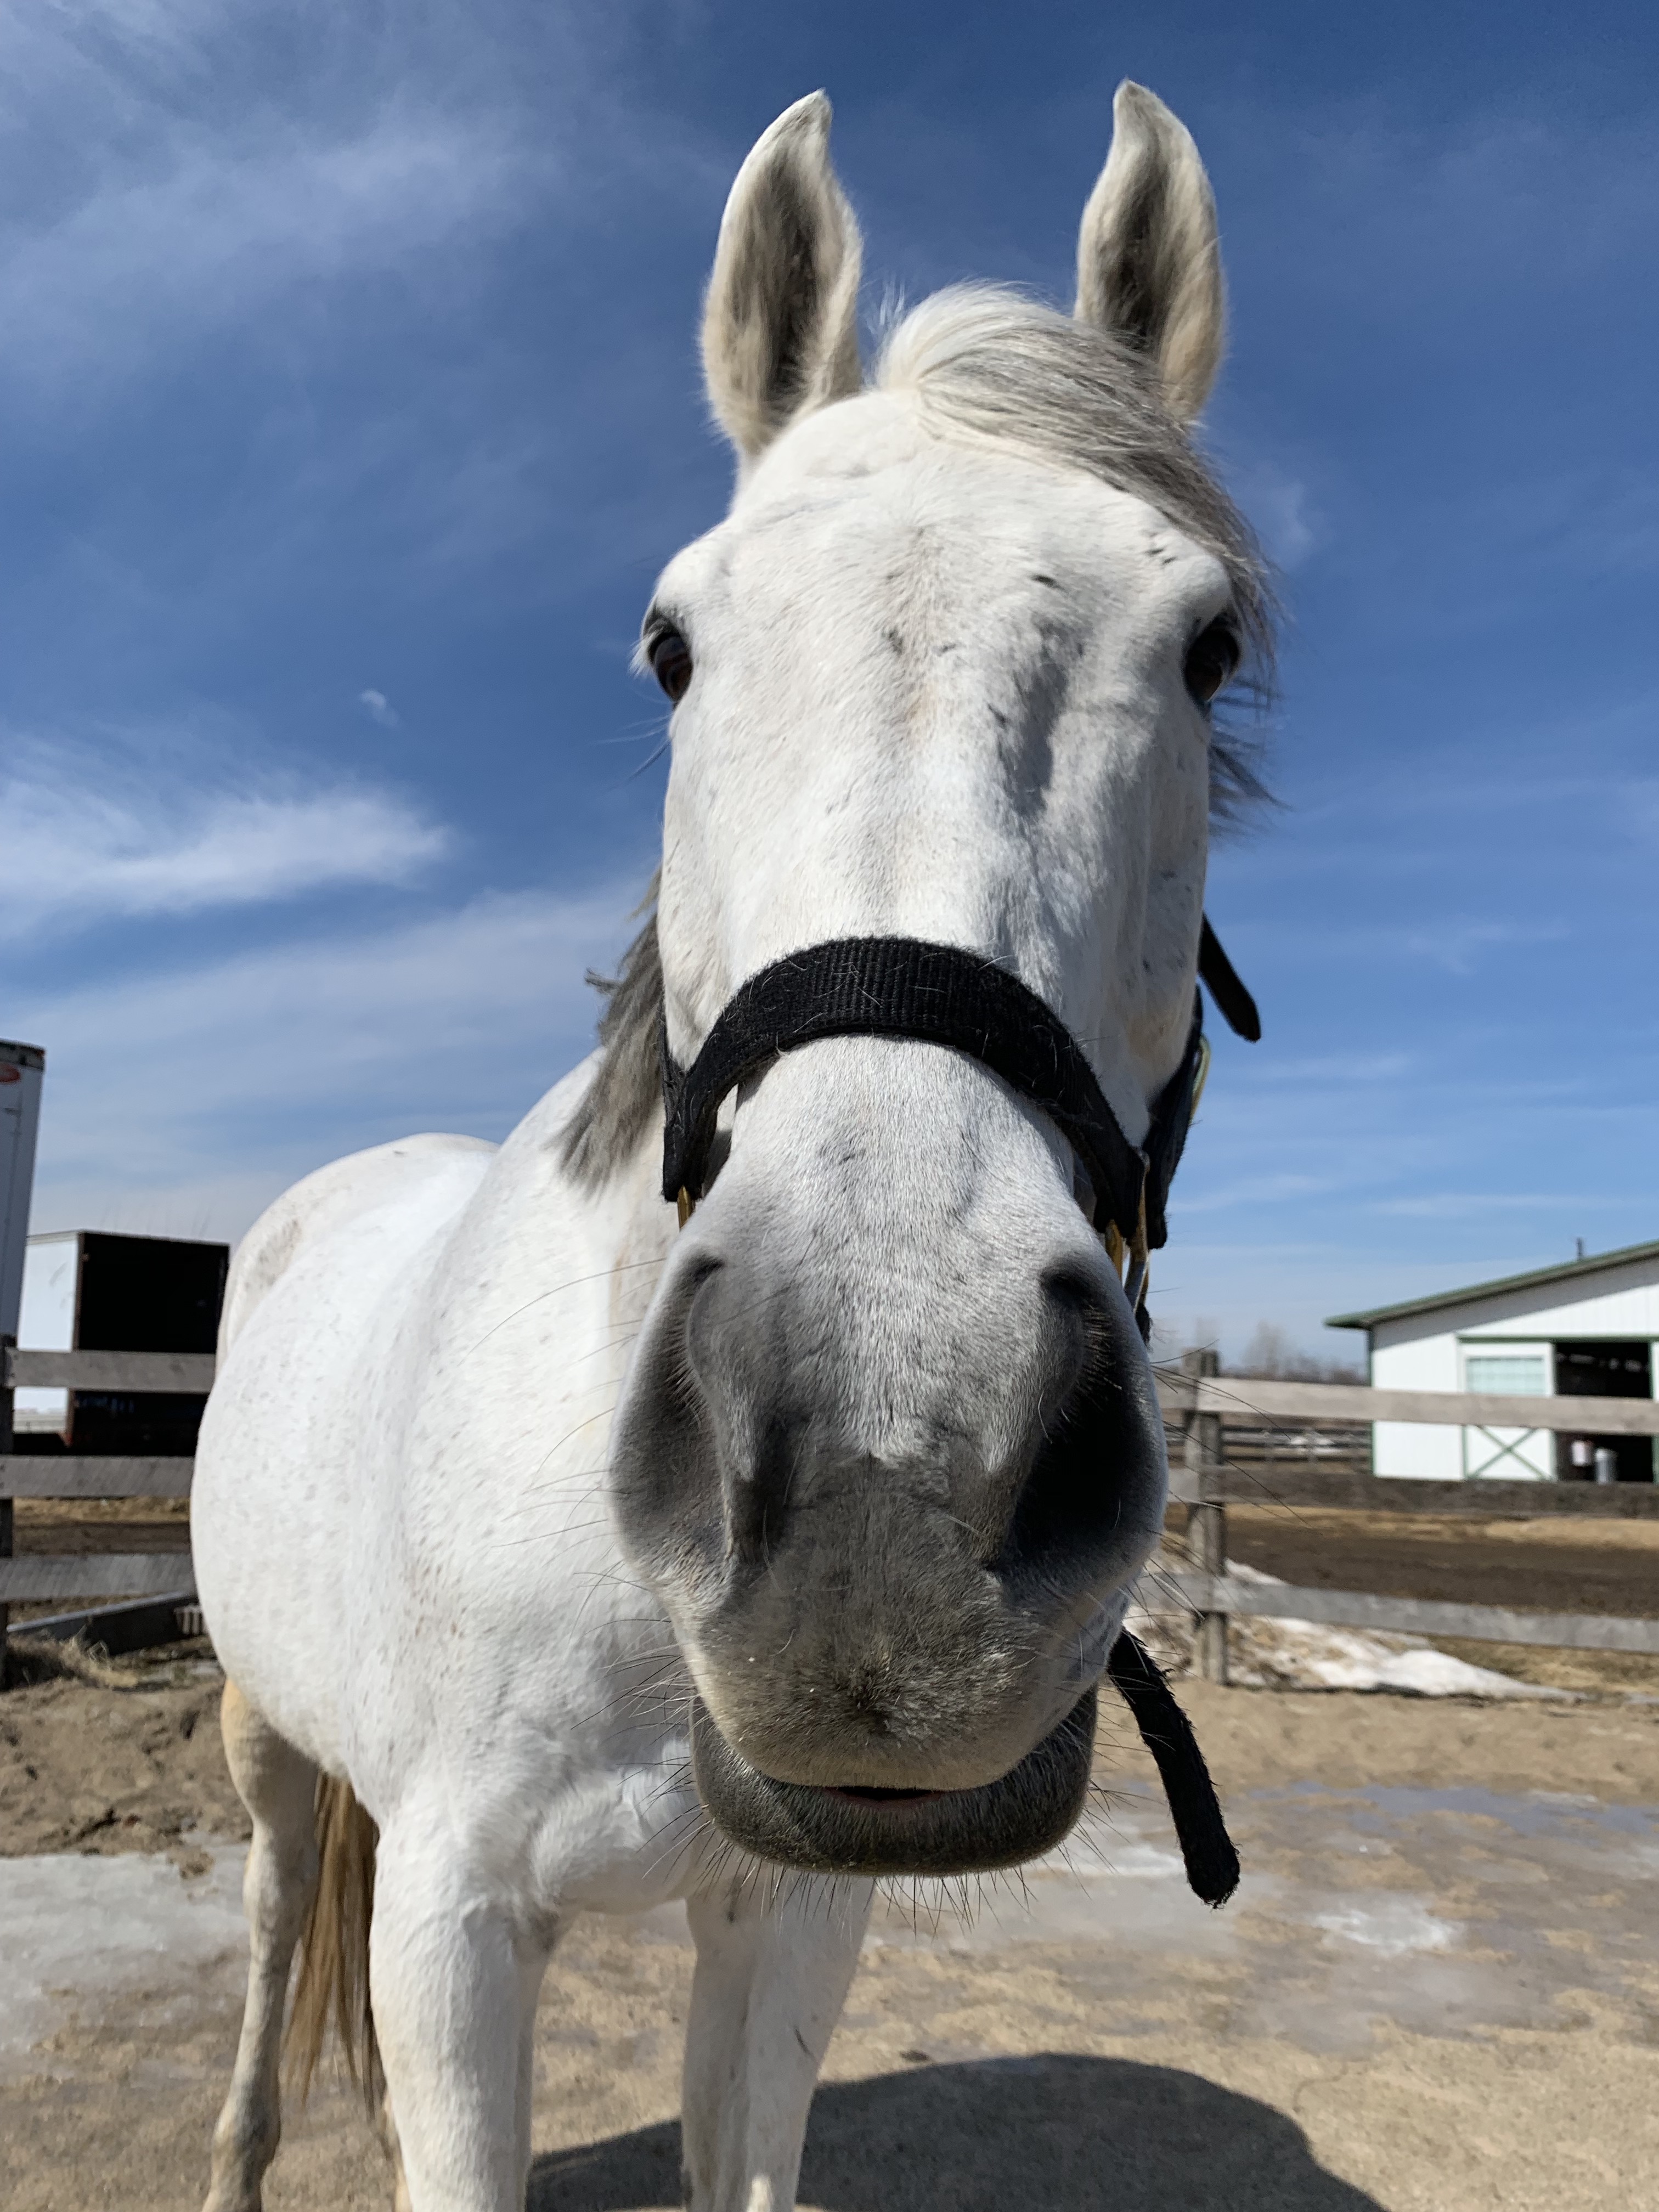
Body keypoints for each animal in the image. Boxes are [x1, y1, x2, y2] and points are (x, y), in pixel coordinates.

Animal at [192, 79, 1270, 2212]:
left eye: (1204, 648)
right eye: (672, 646)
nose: (882, 1491)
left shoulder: (790, 1918)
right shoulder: (451, 1932)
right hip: (274, 1744)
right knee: (273, 1937)